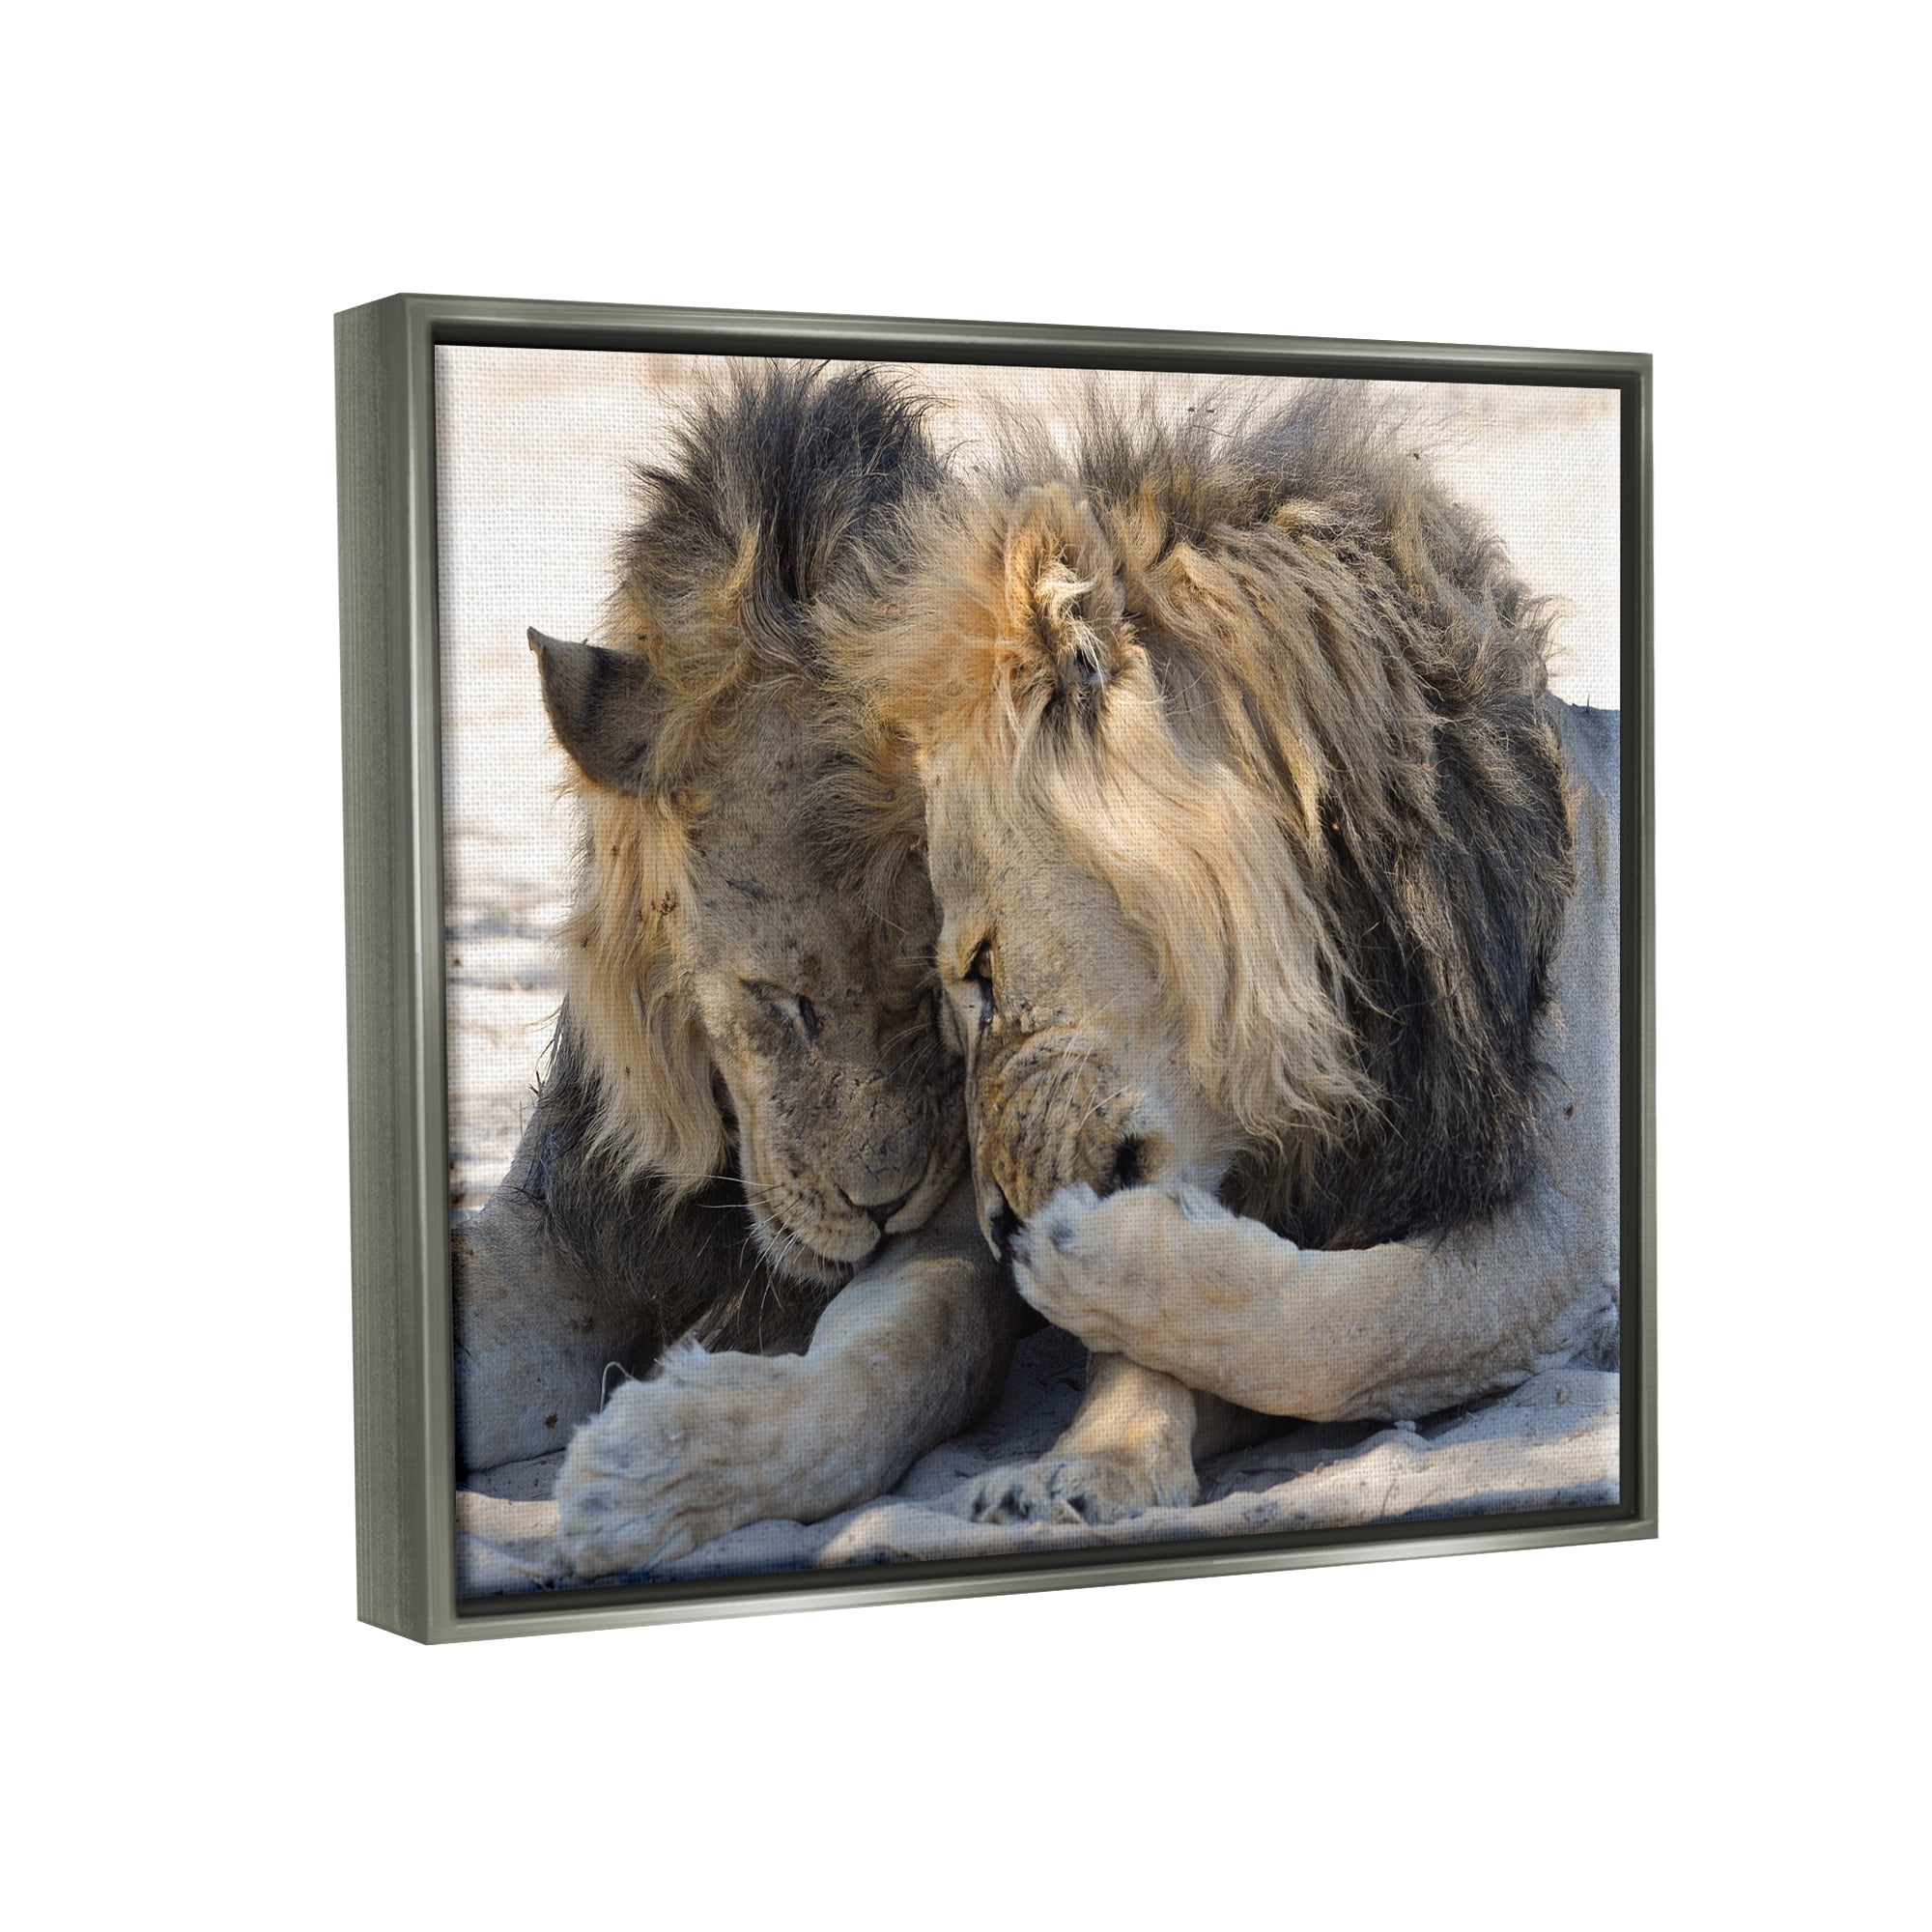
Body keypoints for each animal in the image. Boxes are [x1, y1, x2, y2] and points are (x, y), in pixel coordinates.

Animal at [453, 363, 1018, 1578]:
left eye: (936, 999)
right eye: (781, 1001)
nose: (879, 1207)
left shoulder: (958, 1235)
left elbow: (898, 1367)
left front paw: (654, 1470)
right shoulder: (567, 1223)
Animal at [833, 383, 1620, 1525]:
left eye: (980, 968)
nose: (995, 1228)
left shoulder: (1569, 1230)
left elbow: (1353, 1324)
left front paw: (1083, 1263)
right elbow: (1195, 1346)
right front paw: (1092, 1459)